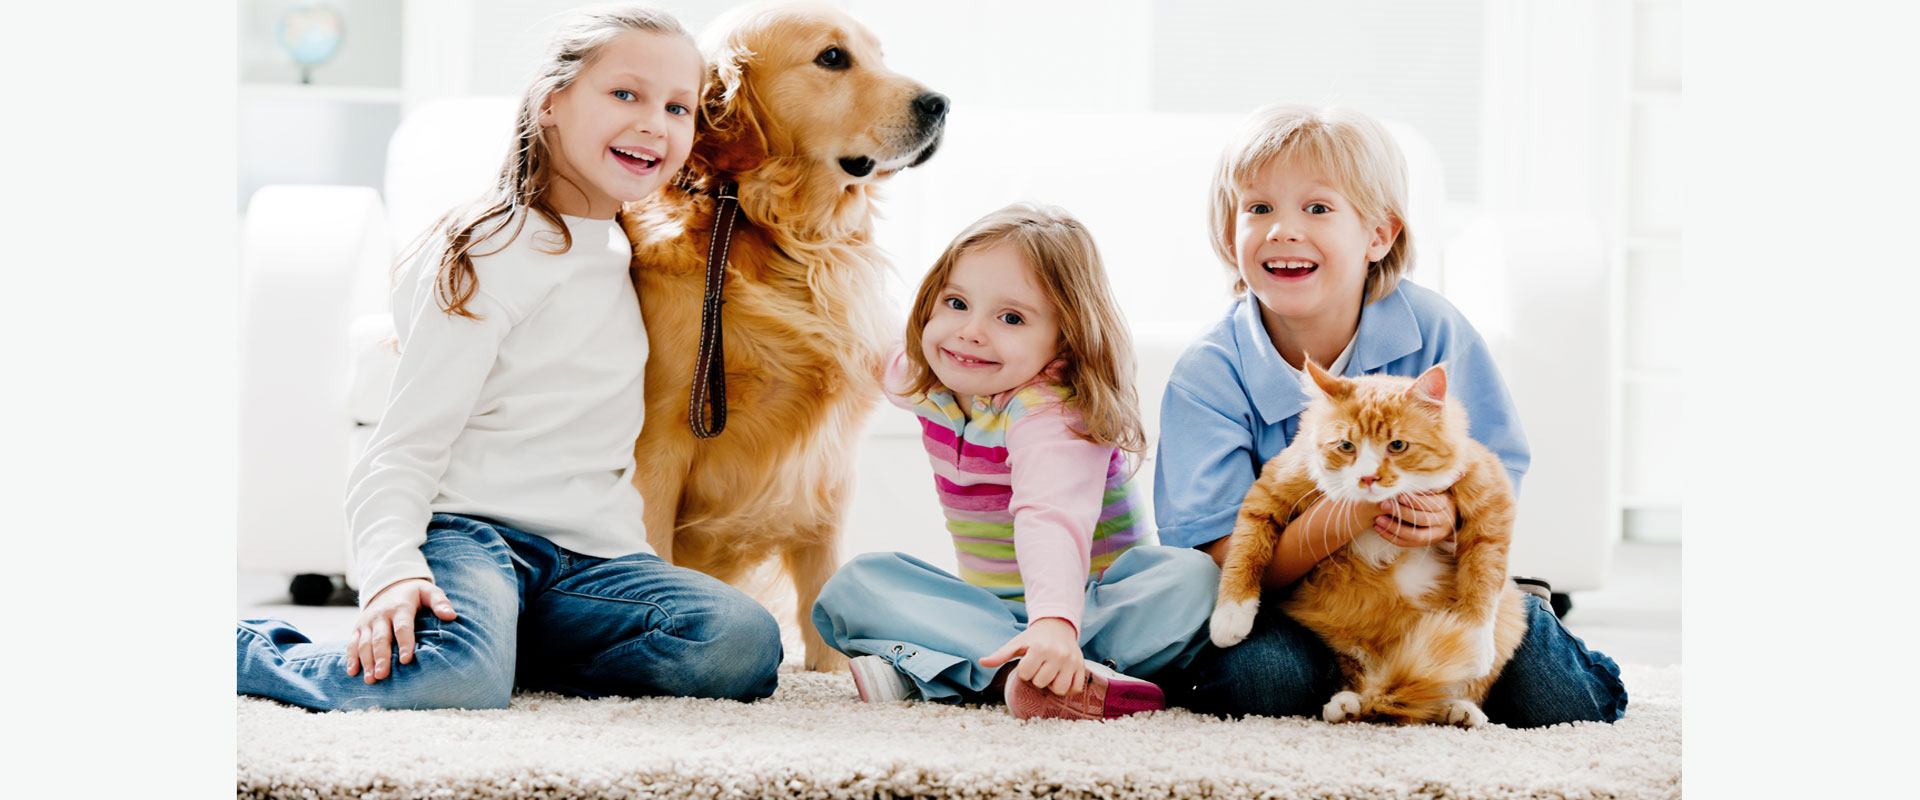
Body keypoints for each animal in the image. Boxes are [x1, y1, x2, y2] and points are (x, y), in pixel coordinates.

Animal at [614, 3, 944, 671]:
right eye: (832, 58)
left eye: (880, 53)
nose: (940, 104)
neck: (785, 236)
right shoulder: (657, 443)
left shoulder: (826, 468)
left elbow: (824, 587)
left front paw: (833, 671)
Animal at [1213, 358, 1528, 725]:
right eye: (1346, 446)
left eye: (1397, 446)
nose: (1368, 477)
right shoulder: (1270, 491)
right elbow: (1244, 551)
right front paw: (1231, 616)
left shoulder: (1491, 499)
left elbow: (1482, 580)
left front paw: (1474, 643)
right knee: (1359, 682)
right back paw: (1346, 705)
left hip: (1510, 614)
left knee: (1448, 690)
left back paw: (1460, 711)